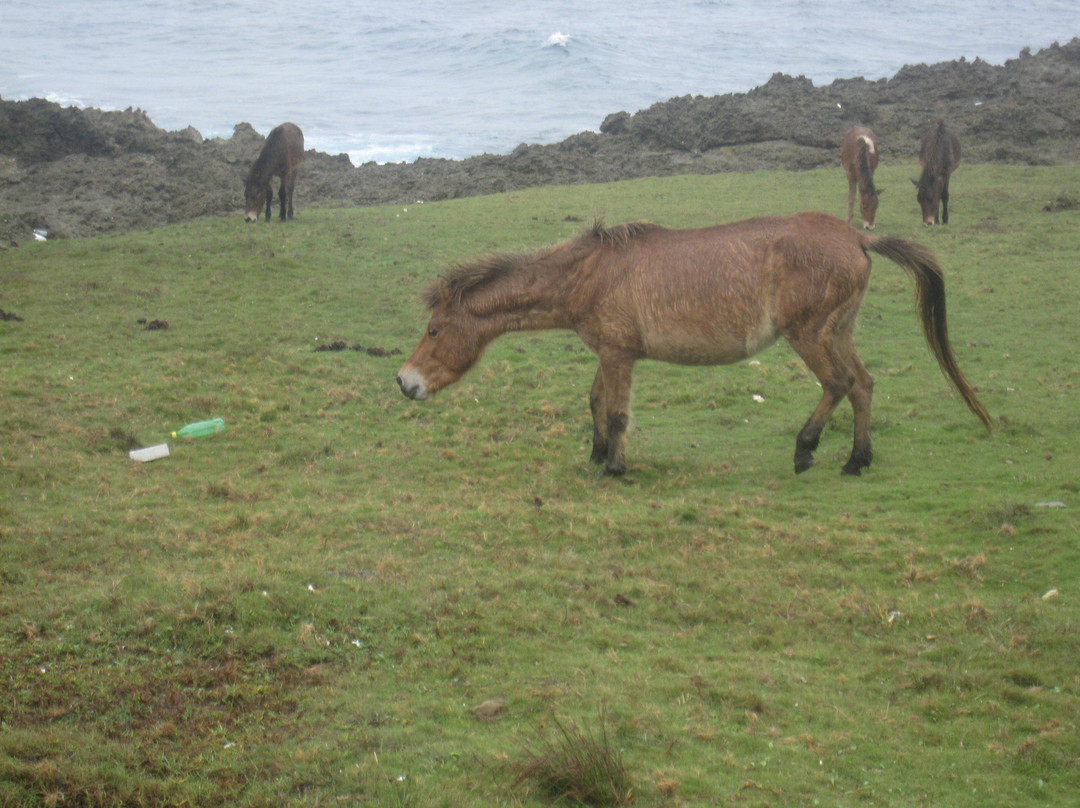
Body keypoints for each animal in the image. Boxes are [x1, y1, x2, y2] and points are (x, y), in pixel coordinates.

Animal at [395, 214, 989, 479]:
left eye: (434, 330)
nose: (404, 382)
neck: (587, 273)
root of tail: (858, 236)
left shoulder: (618, 355)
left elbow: (616, 412)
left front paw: (615, 467)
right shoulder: (611, 351)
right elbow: (595, 402)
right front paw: (596, 454)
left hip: (809, 335)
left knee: (839, 384)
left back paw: (806, 450)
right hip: (838, 331)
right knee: (862, 384)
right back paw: (856, 460)